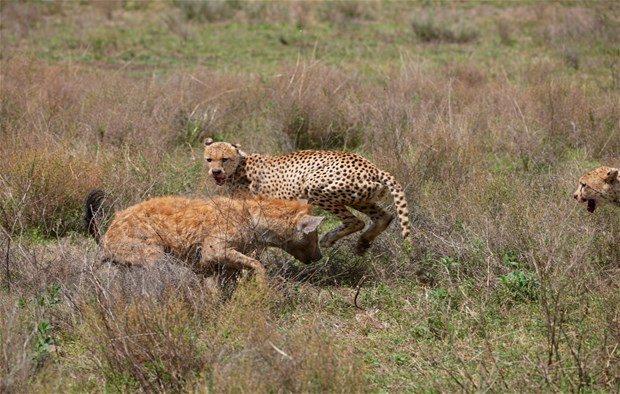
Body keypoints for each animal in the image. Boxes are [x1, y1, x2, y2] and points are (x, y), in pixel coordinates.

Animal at [85, 190, 324, 280]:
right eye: (314, 235)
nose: (320, 256)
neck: (251, 218)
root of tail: (105, 235)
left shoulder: (211, 267)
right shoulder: (214, 249)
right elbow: (257, 264)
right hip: (153, 255)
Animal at [202, 139, 412, 255]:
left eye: (224, 159)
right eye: (209, 159)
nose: (215, 171)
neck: (239, 167)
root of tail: (372, 167)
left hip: (315, 186)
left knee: (356, 221)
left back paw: (330, 238)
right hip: (362, 197)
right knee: (384, 216)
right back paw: (363, 243)